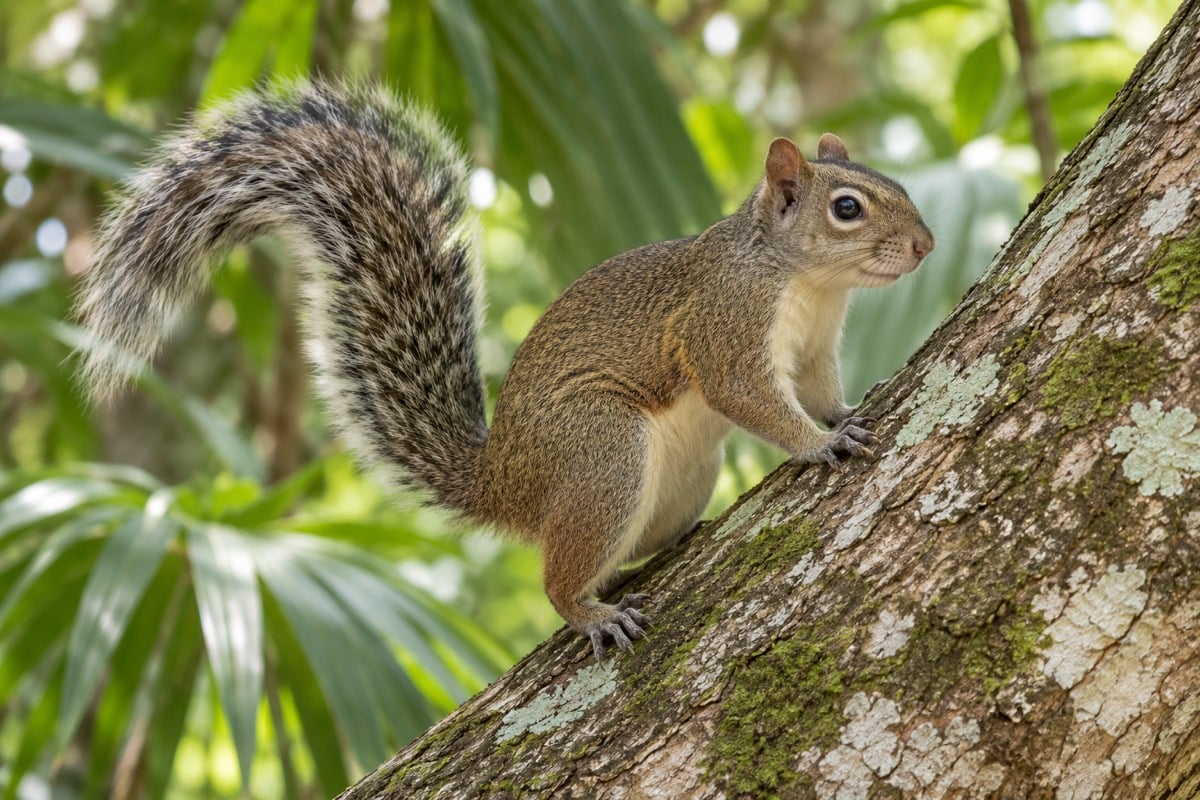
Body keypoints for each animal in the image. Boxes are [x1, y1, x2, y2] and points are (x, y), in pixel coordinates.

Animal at [77, 82, 934, 659]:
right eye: (848, 208)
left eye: (897, 185)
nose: (927, 247)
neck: (808, 282)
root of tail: (503, 483)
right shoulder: (724, 326)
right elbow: (748, 395)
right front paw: (818, 444)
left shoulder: (814, 347)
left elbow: (818, 391)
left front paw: (841, 416)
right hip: (600, 452)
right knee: (556, 579)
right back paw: (592, 613)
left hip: (676, 475)